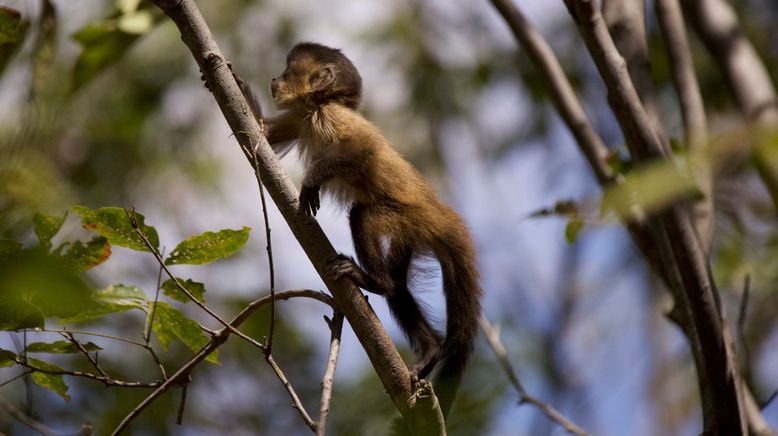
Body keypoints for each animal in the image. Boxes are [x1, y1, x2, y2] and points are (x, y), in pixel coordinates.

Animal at [230, 43, 478, 418]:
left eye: (287, 72)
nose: (274, 80)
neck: (315, 108)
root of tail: (440, 214)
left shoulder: (331, 115)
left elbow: (364, 149)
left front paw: (312, 181)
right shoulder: (302, 117)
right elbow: (258, 134)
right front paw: (230, 81)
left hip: (406, 217)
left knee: (362, 217)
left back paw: (374, 281)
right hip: (411, 235)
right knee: (399, 288)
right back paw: (429, 348)